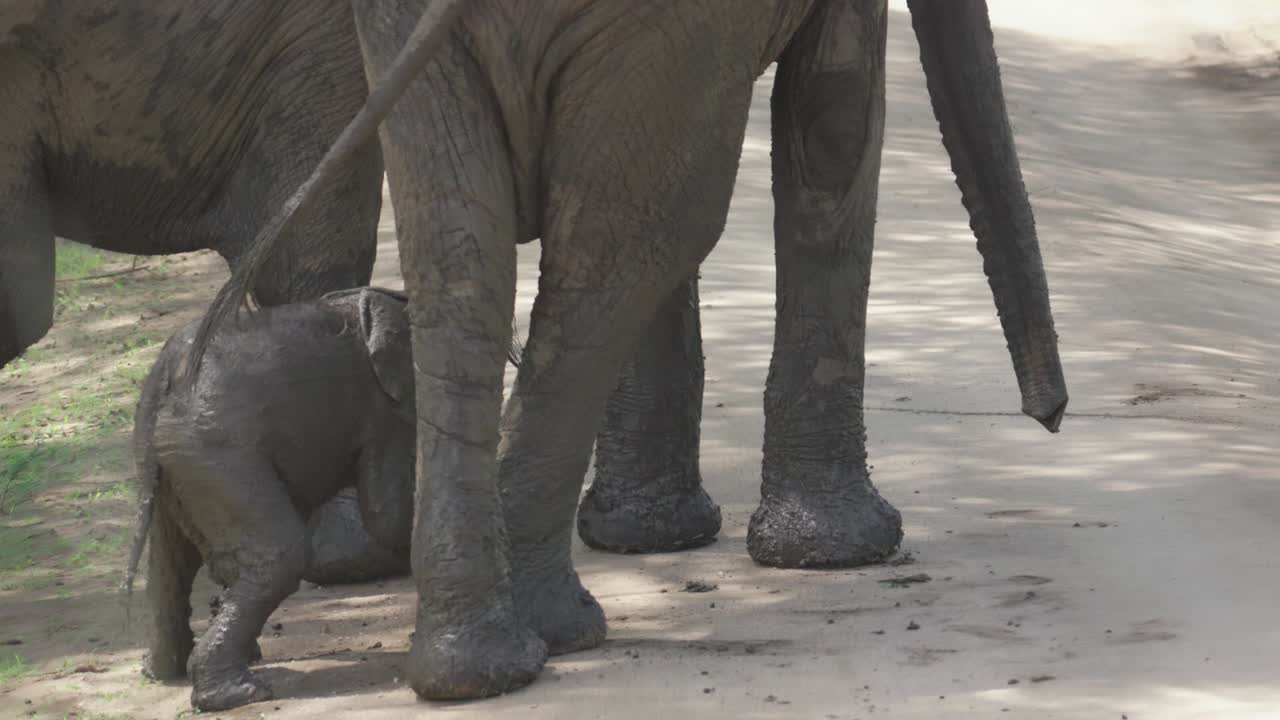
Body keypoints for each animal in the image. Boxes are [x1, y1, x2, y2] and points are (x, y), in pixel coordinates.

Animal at [122, 287, 416, 711]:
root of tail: (160, 375)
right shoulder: (384, 412)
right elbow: (389, 515)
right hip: (216, 450)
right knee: (280, 557)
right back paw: (241, 692)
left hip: (171, 458)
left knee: (169, 566)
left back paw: (163, 671)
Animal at [191, 0, 1069, 703]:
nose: (1050, 415)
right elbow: (834, 120)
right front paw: (836, 553)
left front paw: (666, 538)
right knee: (639, 237)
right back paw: (545, 633)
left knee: (474, 248)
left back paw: (474, 667)